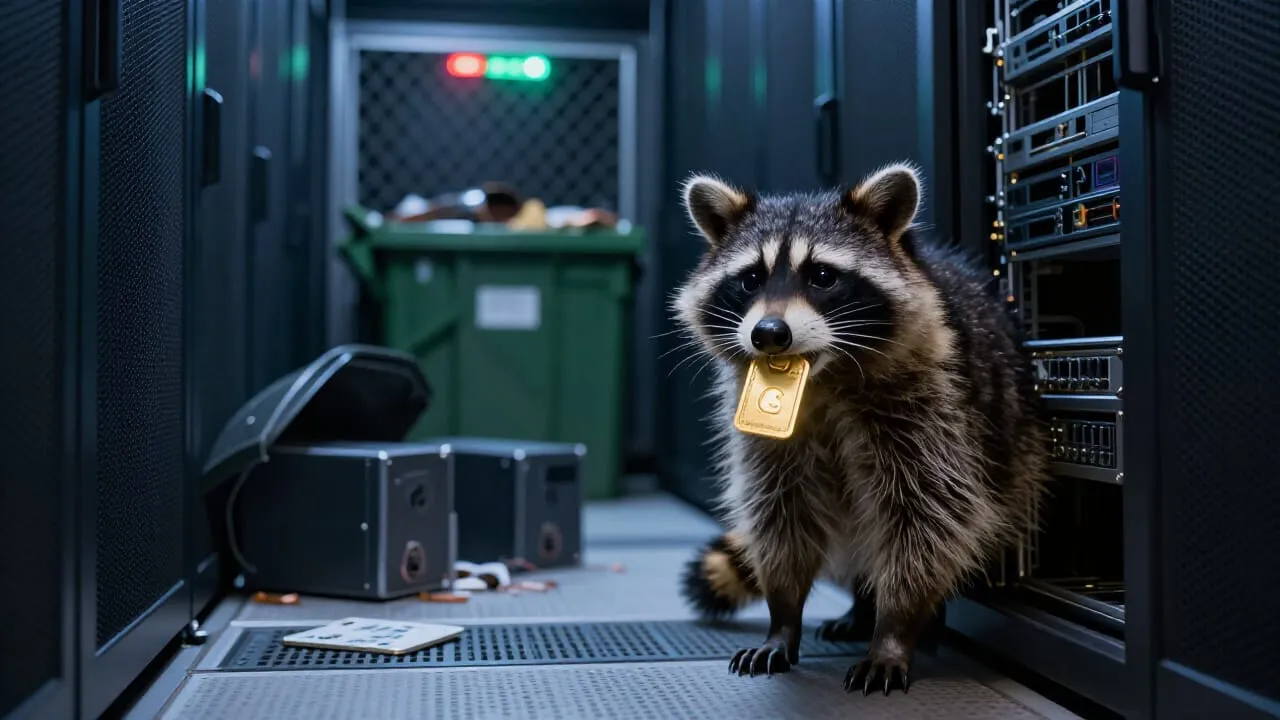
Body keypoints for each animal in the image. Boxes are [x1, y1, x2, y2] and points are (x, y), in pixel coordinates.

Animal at [669, 163, 1047, 696]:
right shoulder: (763, 440)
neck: (822, 378)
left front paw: (894, 629)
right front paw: (783, 617)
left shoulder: (937, 412)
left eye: (823, 276)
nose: (768, 334)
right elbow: (781, 516)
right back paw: (859, 604)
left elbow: (929, 521)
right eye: (750, 279)